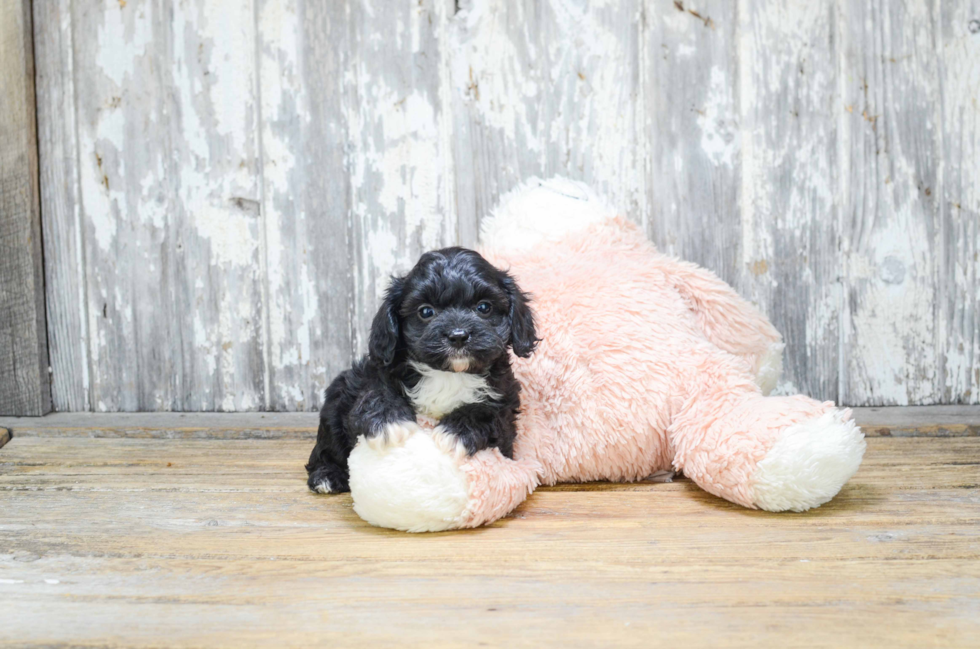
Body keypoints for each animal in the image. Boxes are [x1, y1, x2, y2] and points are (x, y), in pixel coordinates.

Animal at [304, 247, 536, 492]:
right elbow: (375, 393)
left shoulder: (504, 405)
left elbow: (488, 414)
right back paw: (326, 475)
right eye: (425, 312)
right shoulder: (375, 375)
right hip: (336, 402)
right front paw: (388, 421)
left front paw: (455, 432)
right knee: (327, 447)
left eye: (484, 307)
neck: (448, 374)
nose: (458, 335)